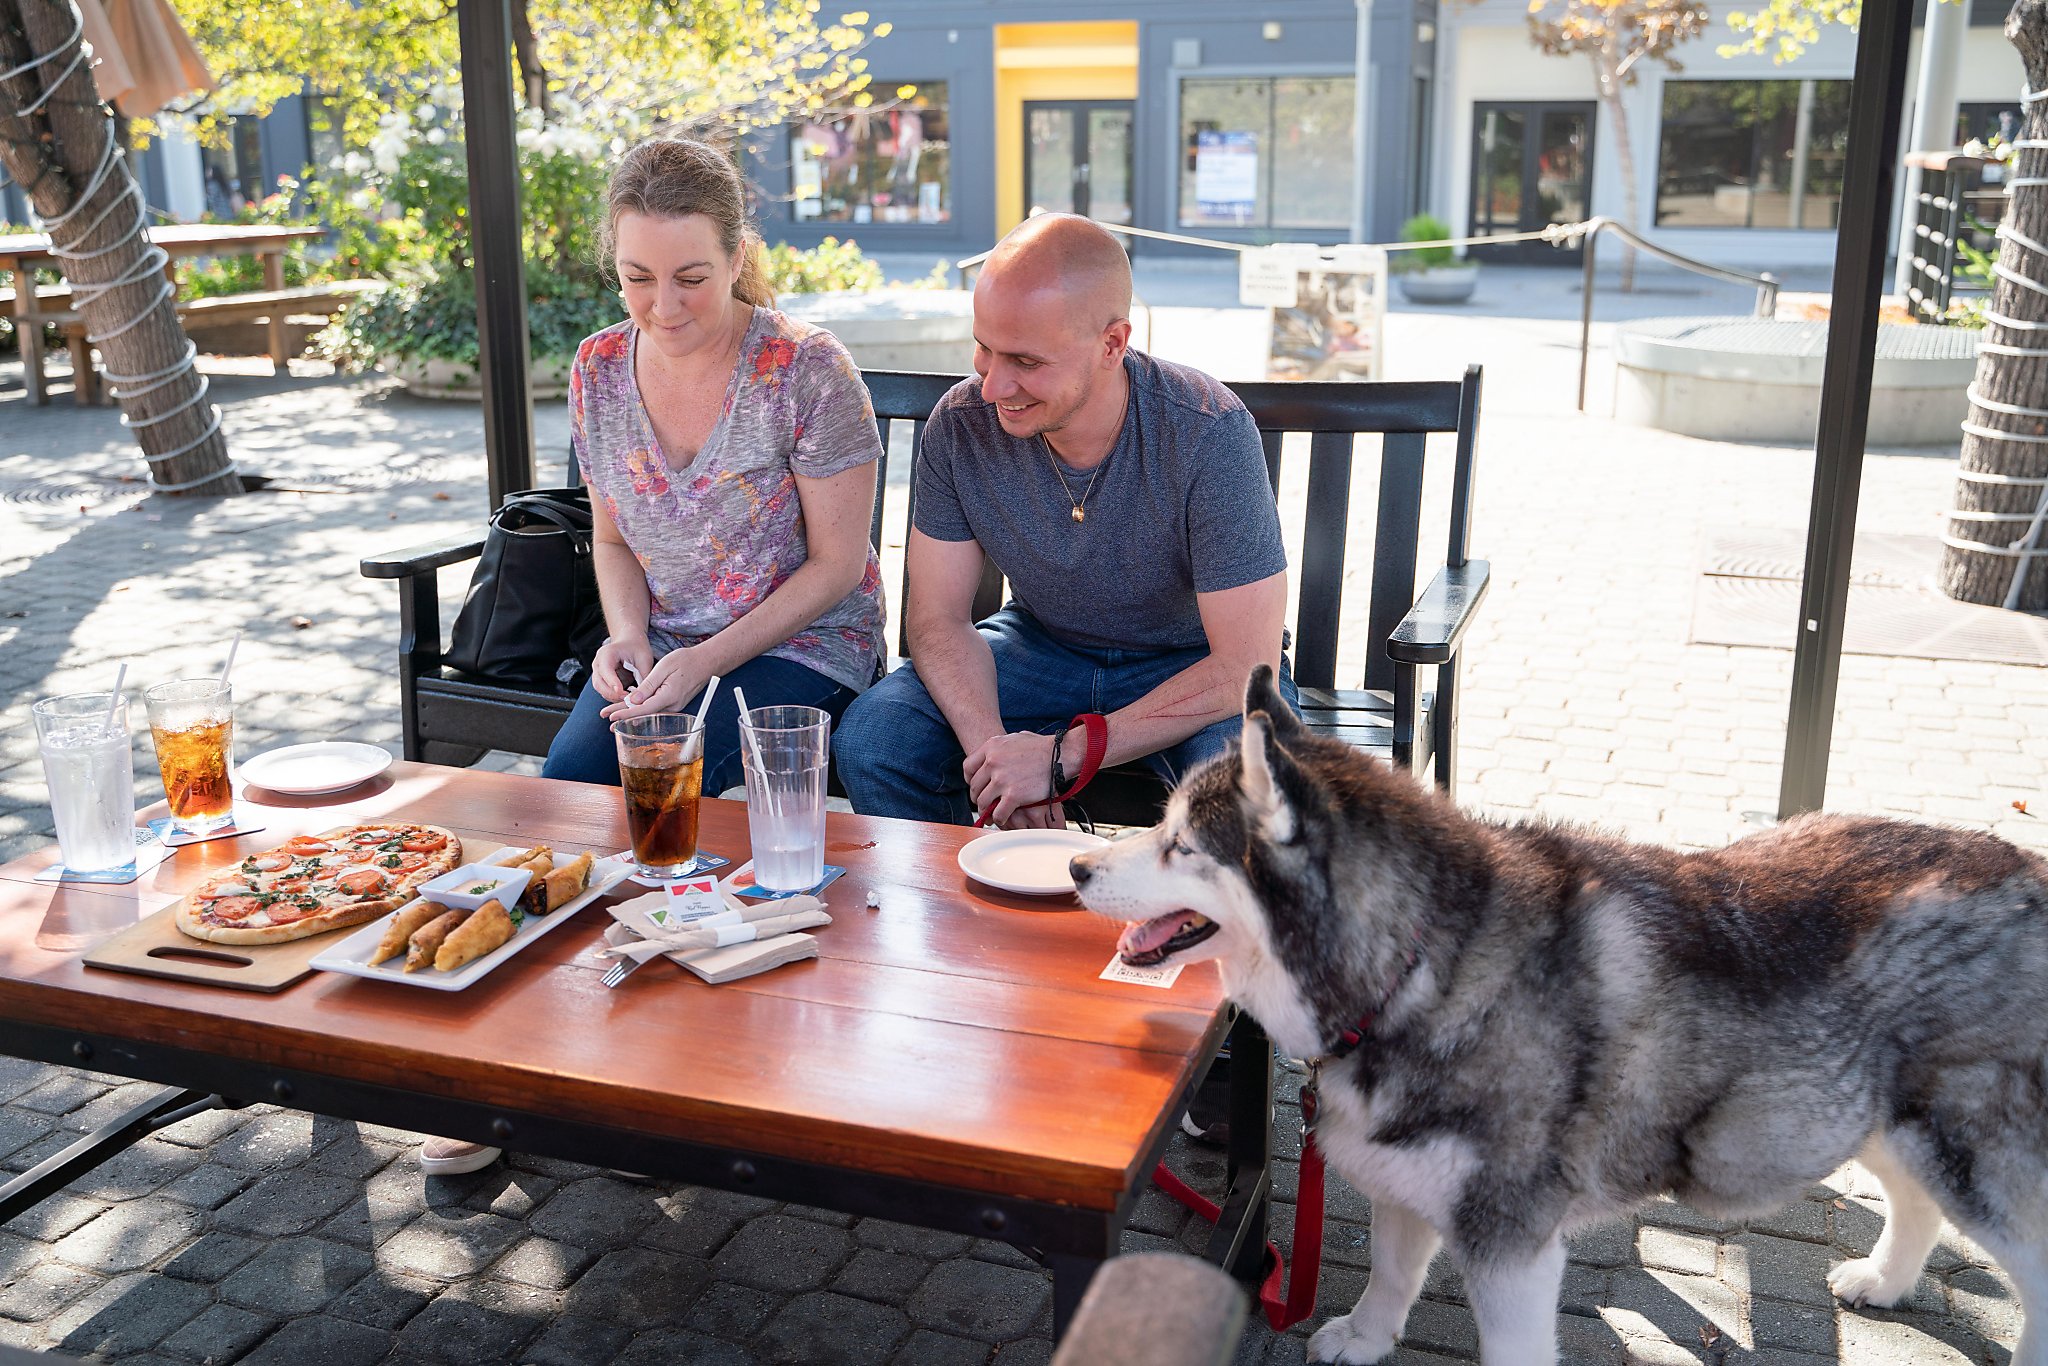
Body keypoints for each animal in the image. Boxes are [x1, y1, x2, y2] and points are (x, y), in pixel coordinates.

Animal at [1073, 667, 2048, 1359]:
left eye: (1179, 846)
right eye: (1160, 827)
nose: (1079, 867)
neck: (1418, 964)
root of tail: (2032, 869)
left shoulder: (1513, 1246)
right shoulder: (1406, 1178)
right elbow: (1390, 1270)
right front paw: (1368, 1337)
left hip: (1967, 1149)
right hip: (1866, 1115)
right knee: (1916, 1201)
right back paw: (1885, 1281)